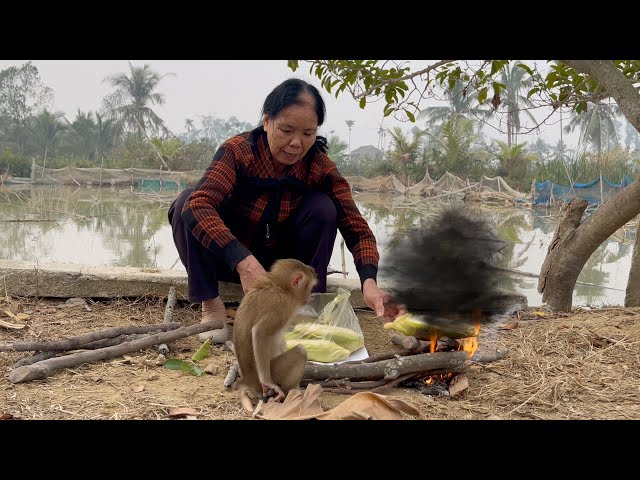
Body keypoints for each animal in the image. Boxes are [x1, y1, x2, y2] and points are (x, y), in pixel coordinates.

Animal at [232, 256, 318, 410]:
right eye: (310, 287)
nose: (308, 297)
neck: (281, 286)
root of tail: (247, 379)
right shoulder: (282, 306)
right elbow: (259, 332)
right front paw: (268, 383)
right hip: (274, 370)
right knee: (300, 351)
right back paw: (292, 392)